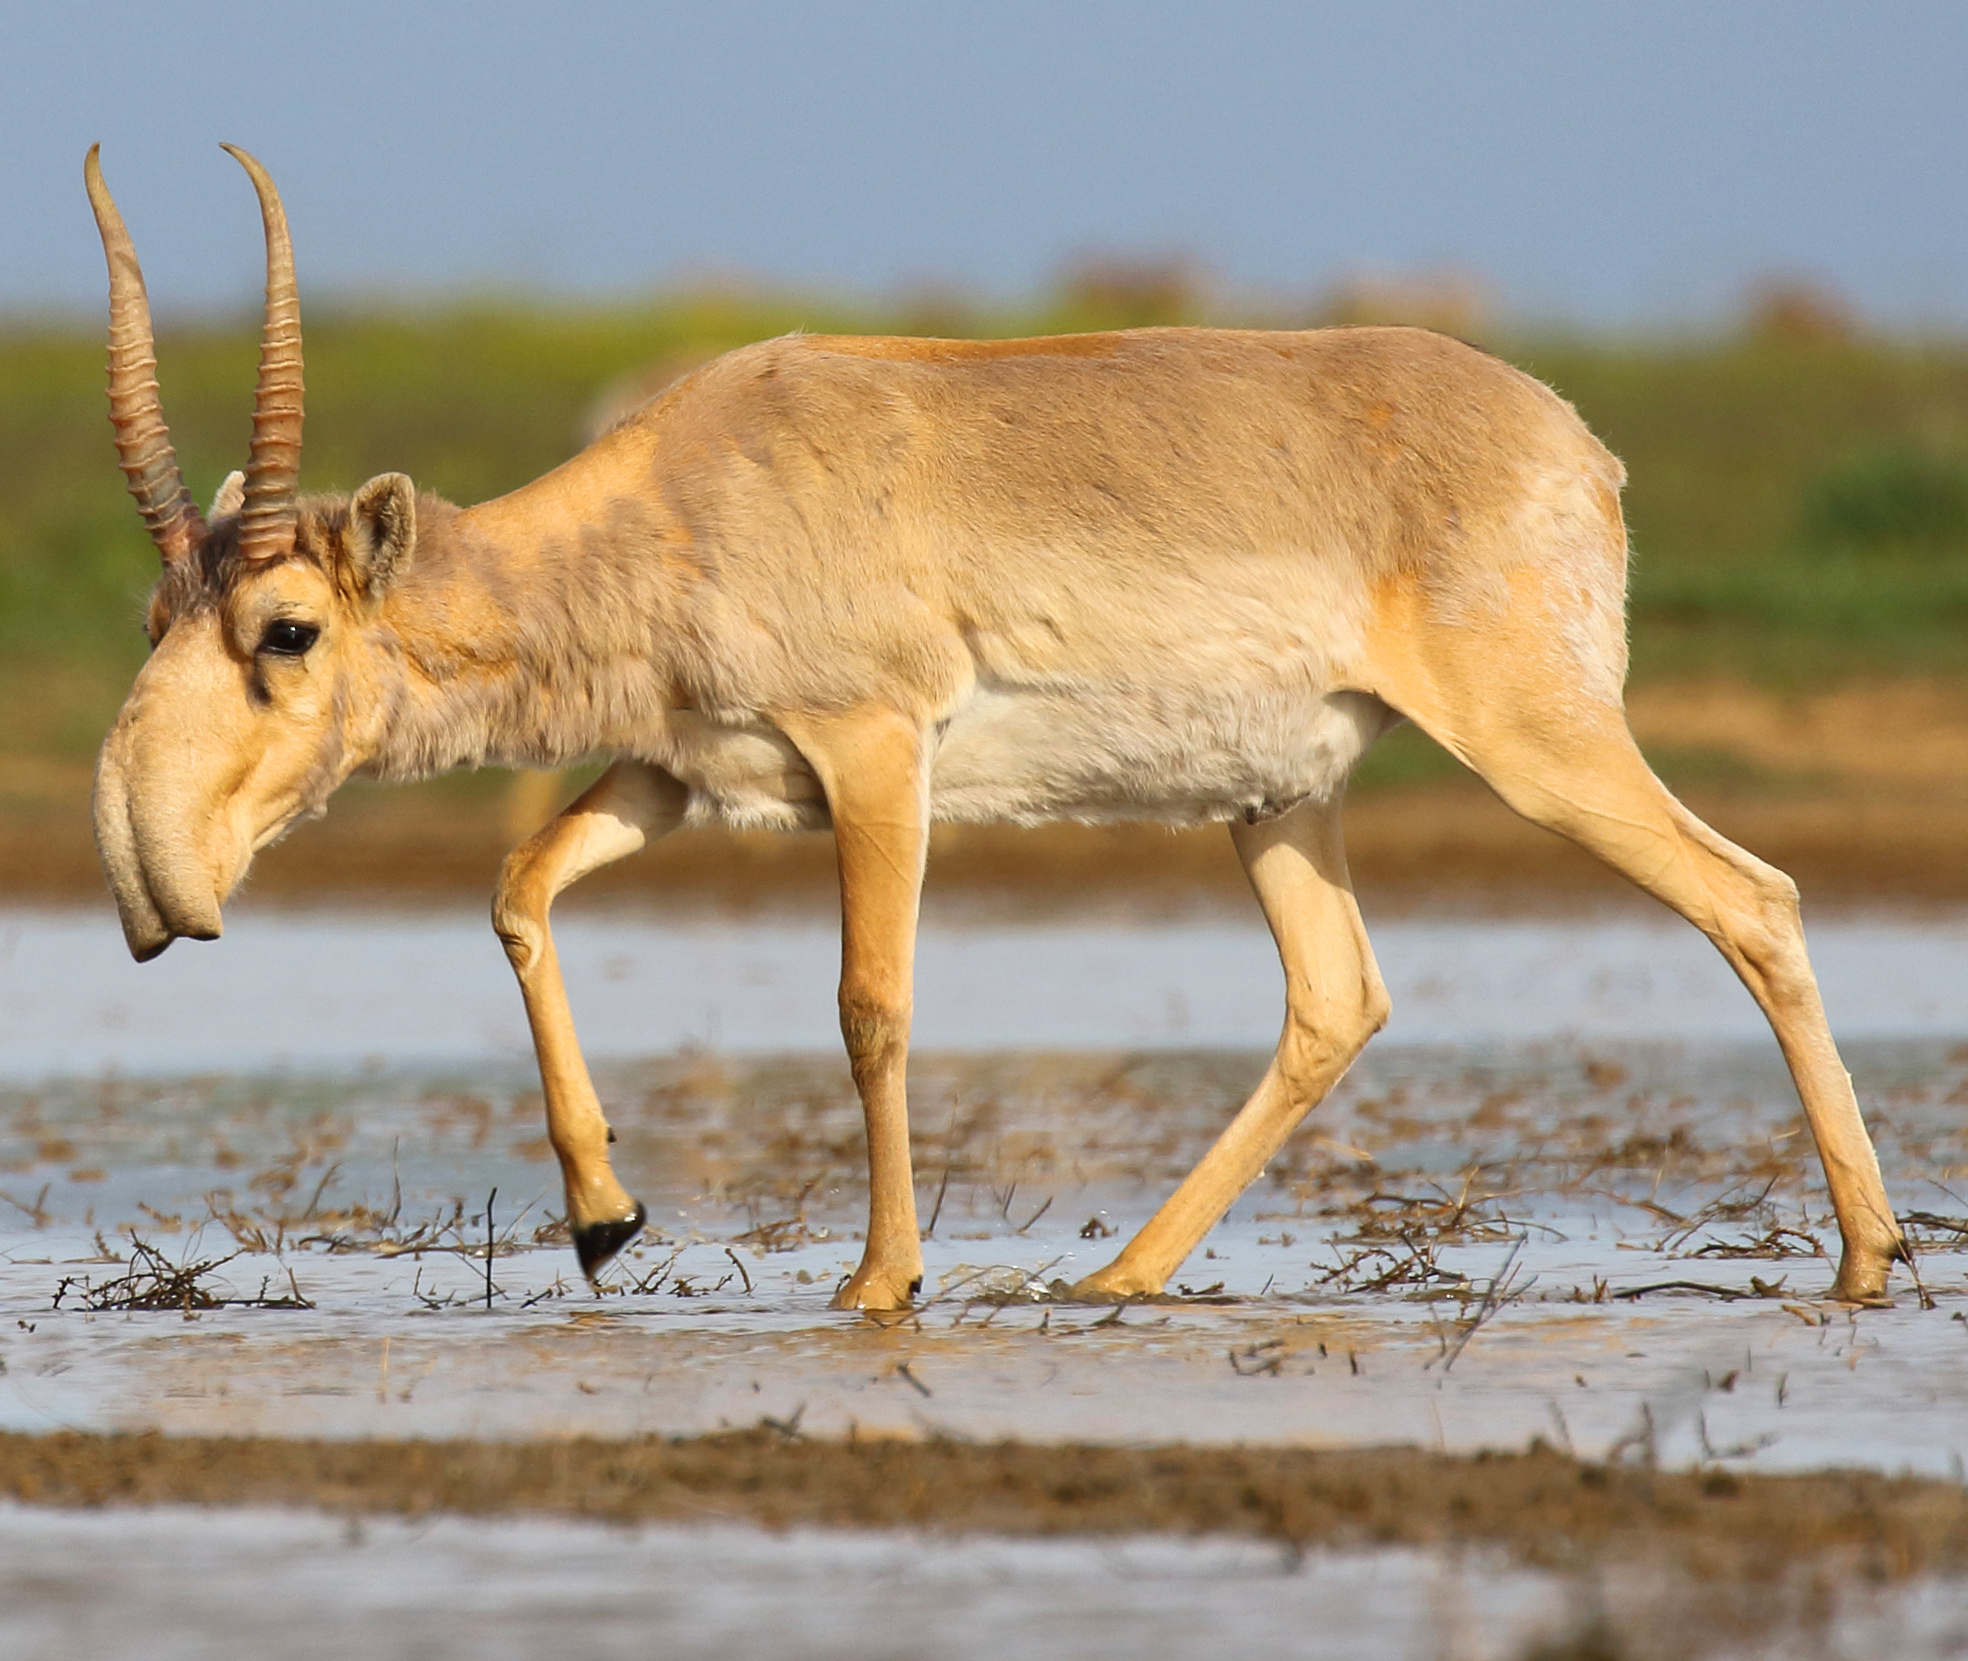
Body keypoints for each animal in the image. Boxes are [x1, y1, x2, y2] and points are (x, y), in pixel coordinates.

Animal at [86, 146, 1907, 1309]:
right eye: (156, 615)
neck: (684, 488)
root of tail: (1574, 443)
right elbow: (517, 888)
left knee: (1751, 899)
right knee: (1337, 998)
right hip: (1276, 800)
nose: (147, 875)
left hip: (1539, 744)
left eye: (287, 628)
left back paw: (1866, 1254)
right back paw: (1116, 1274)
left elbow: (870, 1004)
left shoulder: (875, 755)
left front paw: (879, 1280)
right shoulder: (684, 774)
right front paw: (605, 1220)